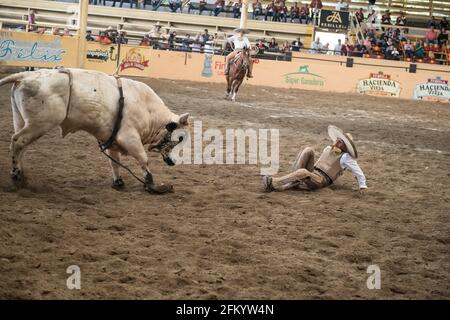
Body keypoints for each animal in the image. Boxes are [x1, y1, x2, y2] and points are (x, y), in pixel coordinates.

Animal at [0, 68, 189, 192]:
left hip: (22, 120)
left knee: (21, 146)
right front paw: (152, 184)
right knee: (18, 141)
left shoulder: (112, 139)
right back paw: (16, 176)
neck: (150, 111)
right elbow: (143, 159)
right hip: (41, 123)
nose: (174, 162)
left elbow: (114, 161)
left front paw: (118, 182)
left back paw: (22, 175)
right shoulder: (129, 137)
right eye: (180, 139)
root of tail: (27, 75)